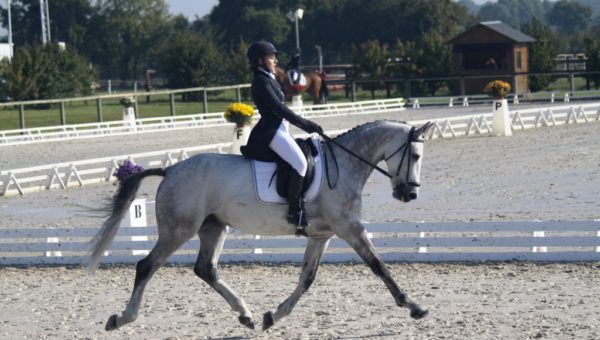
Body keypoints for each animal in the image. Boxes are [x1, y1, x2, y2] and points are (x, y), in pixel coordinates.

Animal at [88, 119, 432, 330]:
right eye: (415, 155)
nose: (410, 194)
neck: (345, 165)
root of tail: (170, 170)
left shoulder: (322, 235)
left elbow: (306, 278)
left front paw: (273, 316)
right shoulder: (350, 228)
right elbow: (378, 265)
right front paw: (413, 306)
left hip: (214, 227)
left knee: (206, 269)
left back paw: (246, 314)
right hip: (178, 230)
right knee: (146, 266)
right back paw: (122, 318)